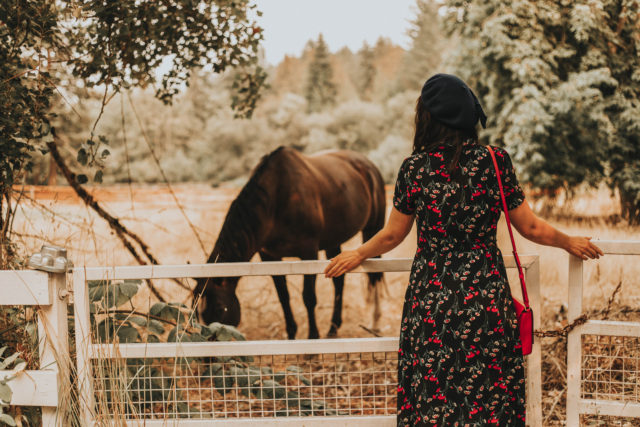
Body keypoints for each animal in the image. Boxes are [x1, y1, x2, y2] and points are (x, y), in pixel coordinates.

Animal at [192, 147, 384, 342]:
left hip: (373, 229)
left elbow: (309, 297)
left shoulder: (309, 252)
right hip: (333, 241)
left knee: (375, 276)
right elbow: (283, 296)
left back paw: (374, 323)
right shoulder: (270, 256)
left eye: (219, 308)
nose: (209, 346)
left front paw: (313, 337)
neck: (277, 199)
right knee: (339, 282)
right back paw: (333, 329)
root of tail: (367, 163)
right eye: (196, 312)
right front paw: (291, 335)